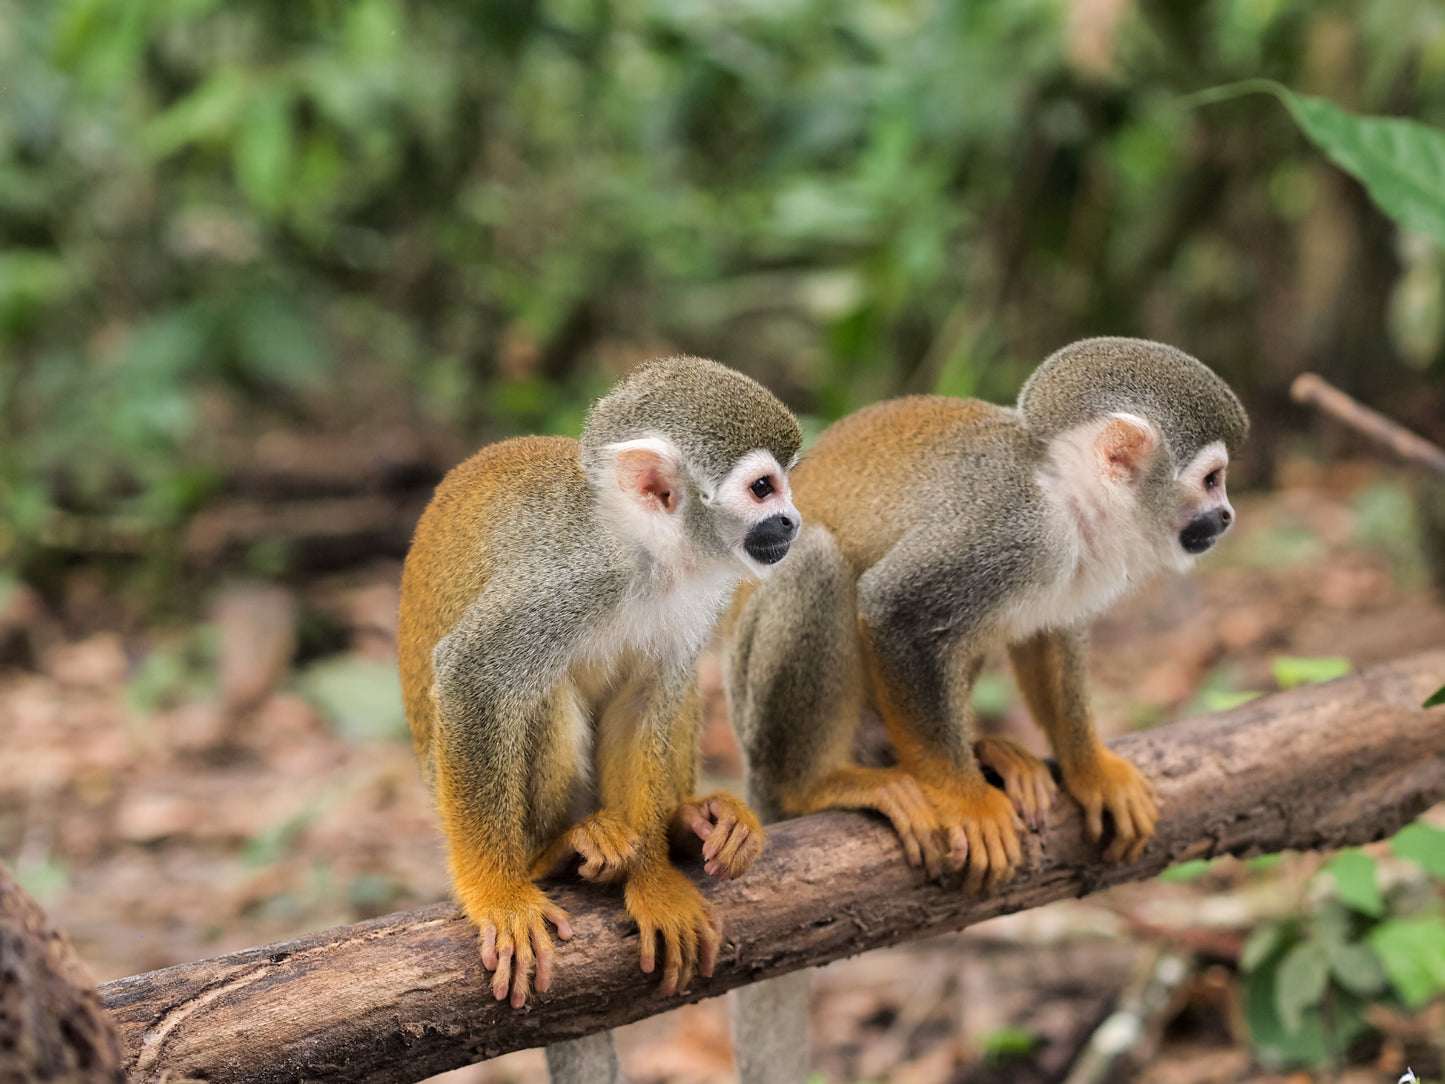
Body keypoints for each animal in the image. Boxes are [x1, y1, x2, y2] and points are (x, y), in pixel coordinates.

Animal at [397, 355, 802, 1033]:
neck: (648, 555)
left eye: (784, 487)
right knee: (541, 690)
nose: (793, 522)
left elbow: (646, 704)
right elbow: (473, 674)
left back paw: (688, 823)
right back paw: (553, 853)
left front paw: (655, 880)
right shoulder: (569, 577)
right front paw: (497, 895)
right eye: (763, 489)